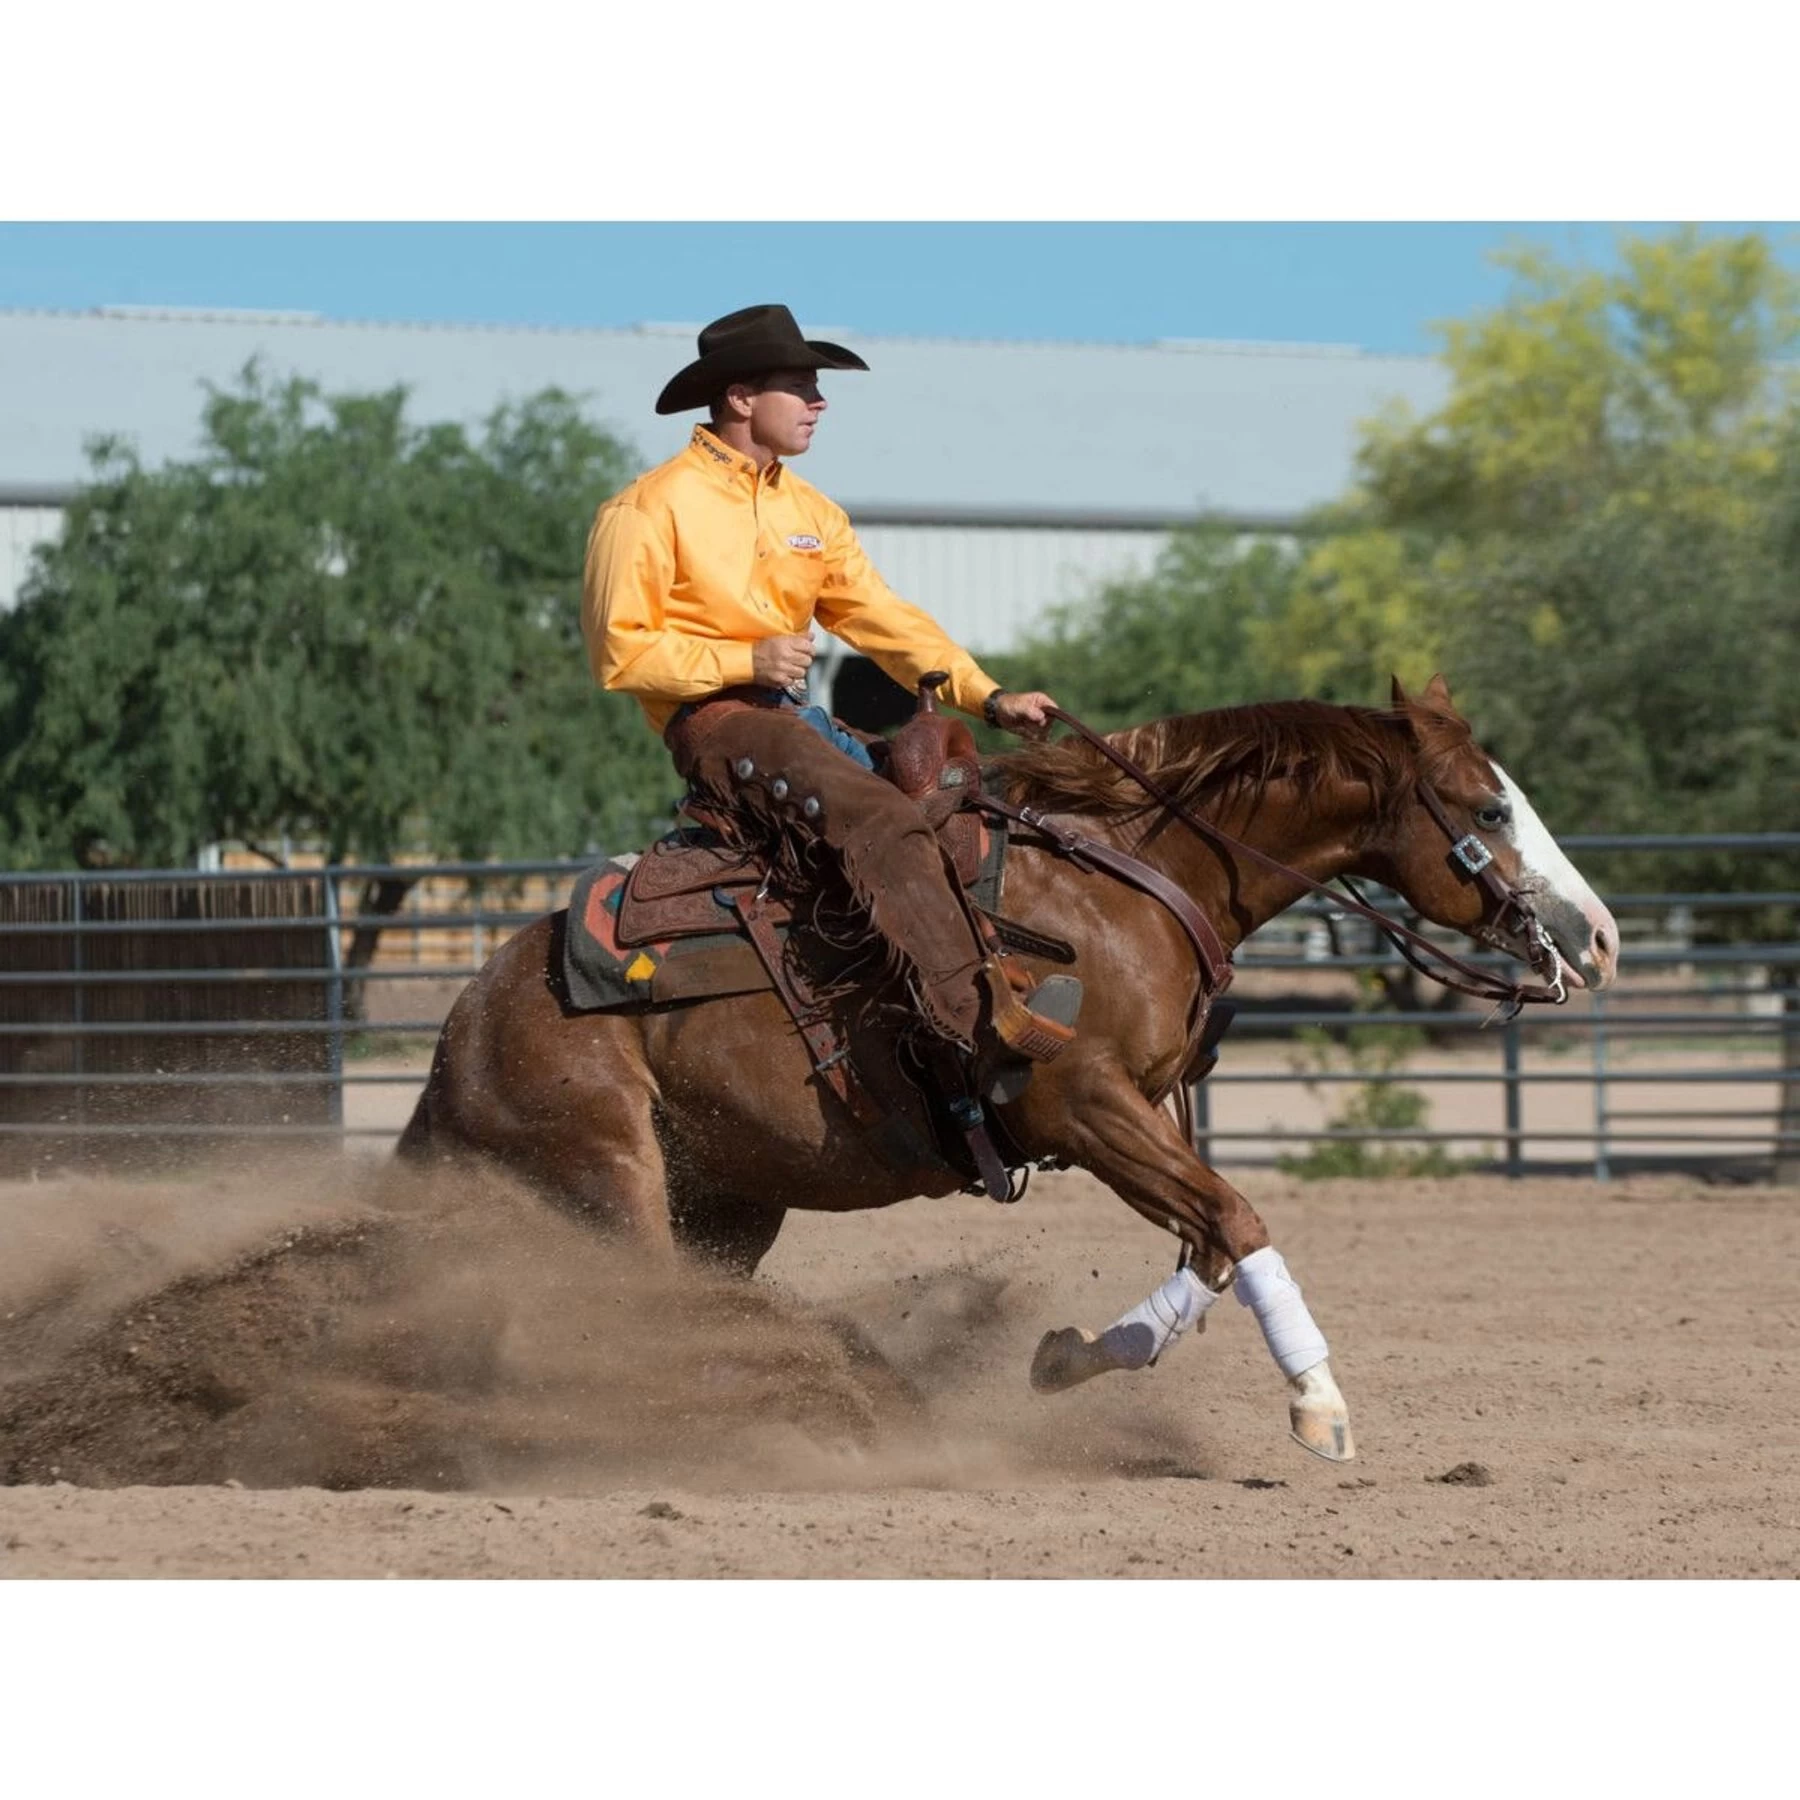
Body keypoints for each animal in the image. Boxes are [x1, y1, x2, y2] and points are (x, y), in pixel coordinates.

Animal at [396, 675, 1618, 1462]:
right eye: (1491, 805)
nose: (1601, 938)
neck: (1125, 884)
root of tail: (465, 1026)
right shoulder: (1081, 1103)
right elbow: (1239, 1219)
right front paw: (1319, 1405)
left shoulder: (1140, 1113)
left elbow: (1210, 1245)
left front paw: (1075, 1357)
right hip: (608, 1173)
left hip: (731, 1201)